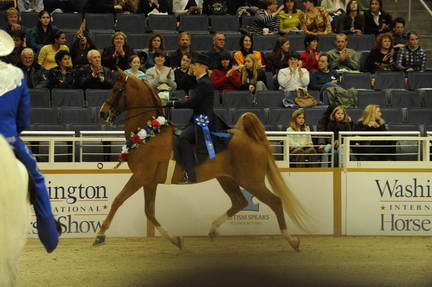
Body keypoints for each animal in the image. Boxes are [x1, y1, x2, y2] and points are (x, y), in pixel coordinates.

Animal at [96, 72, 308, 252]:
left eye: (117, 89)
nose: (102, 113)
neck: (148, 133)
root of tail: (251, 139)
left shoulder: (140, 177)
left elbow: (118, 200)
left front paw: (100, 235)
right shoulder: (148, 181)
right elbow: (149, 212)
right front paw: (176, 240)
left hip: (251, 181)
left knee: (275, 201)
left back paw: (292, 241)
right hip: (227, 179)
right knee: (239, 202)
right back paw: (213, 230)